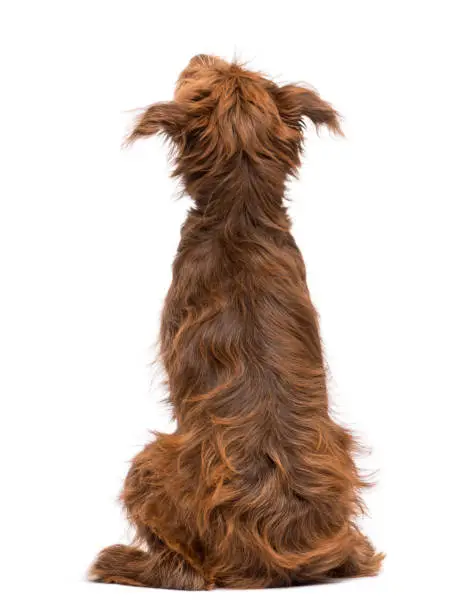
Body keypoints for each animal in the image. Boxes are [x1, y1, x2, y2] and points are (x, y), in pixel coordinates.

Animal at [88, 56, 382, 588]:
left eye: (197, 82)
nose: (200, 55)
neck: (240, 216)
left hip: (149, 463)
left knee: (186, 570)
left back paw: (123, 562)